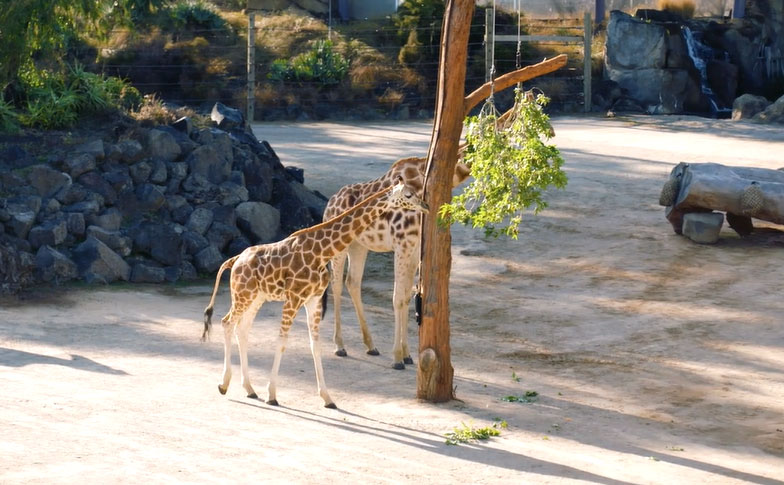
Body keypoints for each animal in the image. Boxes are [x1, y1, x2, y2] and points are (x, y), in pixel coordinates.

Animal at [201, 179, 428, 408]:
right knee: (227, 323)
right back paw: (224, 385)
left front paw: (328, 398)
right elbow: (282, 342)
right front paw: (272, 395)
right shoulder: (294, 298)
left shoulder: (313, 299)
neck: (321, 251)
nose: (426, 206)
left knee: (242, 329)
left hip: (257, 297)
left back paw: (249, 389)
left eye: (415, 192)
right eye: (408, 195)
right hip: (243, 293)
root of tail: (235, 260)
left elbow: (315, 346)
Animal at [324, 156, 471, 370]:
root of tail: (329, 202)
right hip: (339, 245)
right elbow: (397, 297)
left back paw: (371, 346)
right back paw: (340, 346)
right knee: (335, 284)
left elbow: (406, 297)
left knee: (352, 282)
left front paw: (407, 355)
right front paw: (397, 358)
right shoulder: (402, 245)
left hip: (358, 245)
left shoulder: (414, 249)